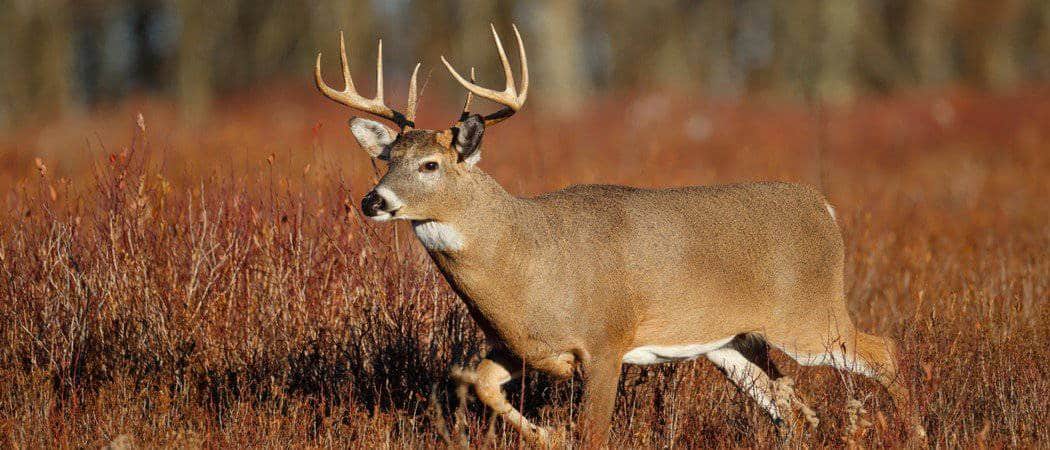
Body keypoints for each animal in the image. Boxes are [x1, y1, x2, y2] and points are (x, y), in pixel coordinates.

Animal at [314, 25, 924, 447]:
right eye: (386, 159)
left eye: (431, 164)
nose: (373, 201)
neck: (525, 261)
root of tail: (824, 206)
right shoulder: (520, 345)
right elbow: (475, 381)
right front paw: (549, 435)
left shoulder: (606, 339)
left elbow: (595, 433)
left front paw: (563, 434)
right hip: (732, 342)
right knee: (794, 406)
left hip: (808, 315)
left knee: (884, 353)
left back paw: (917, 434)